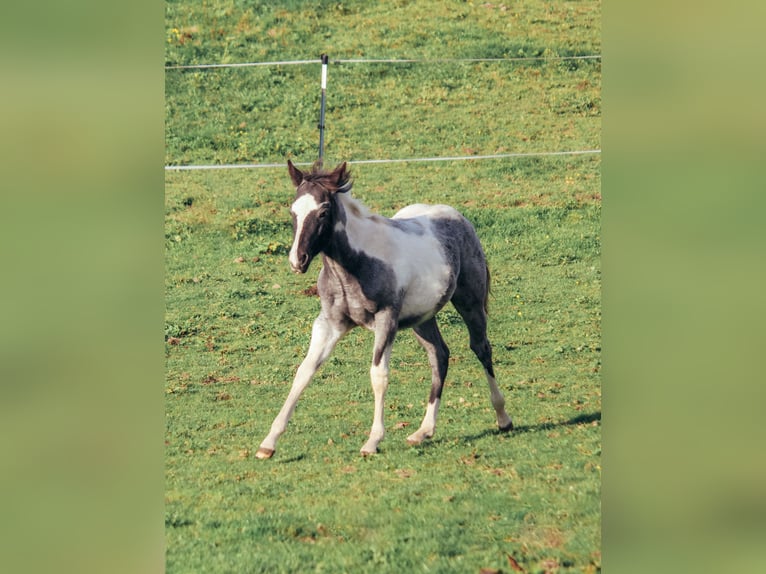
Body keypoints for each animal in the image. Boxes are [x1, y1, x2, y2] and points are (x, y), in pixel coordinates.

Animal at [255, 160, 513, 459]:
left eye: (323, 211)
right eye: (292, 211)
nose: (298, 260)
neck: (353, 266)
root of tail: (456, 216)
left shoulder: (386, 320)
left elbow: (379, 375)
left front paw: (372, 441)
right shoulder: (329, 323)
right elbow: (304, 371)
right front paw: (269, 442)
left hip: (469, 302)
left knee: (481, 348)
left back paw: (503, 418)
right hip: (422, 318)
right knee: (439, 355)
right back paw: (423, 431)